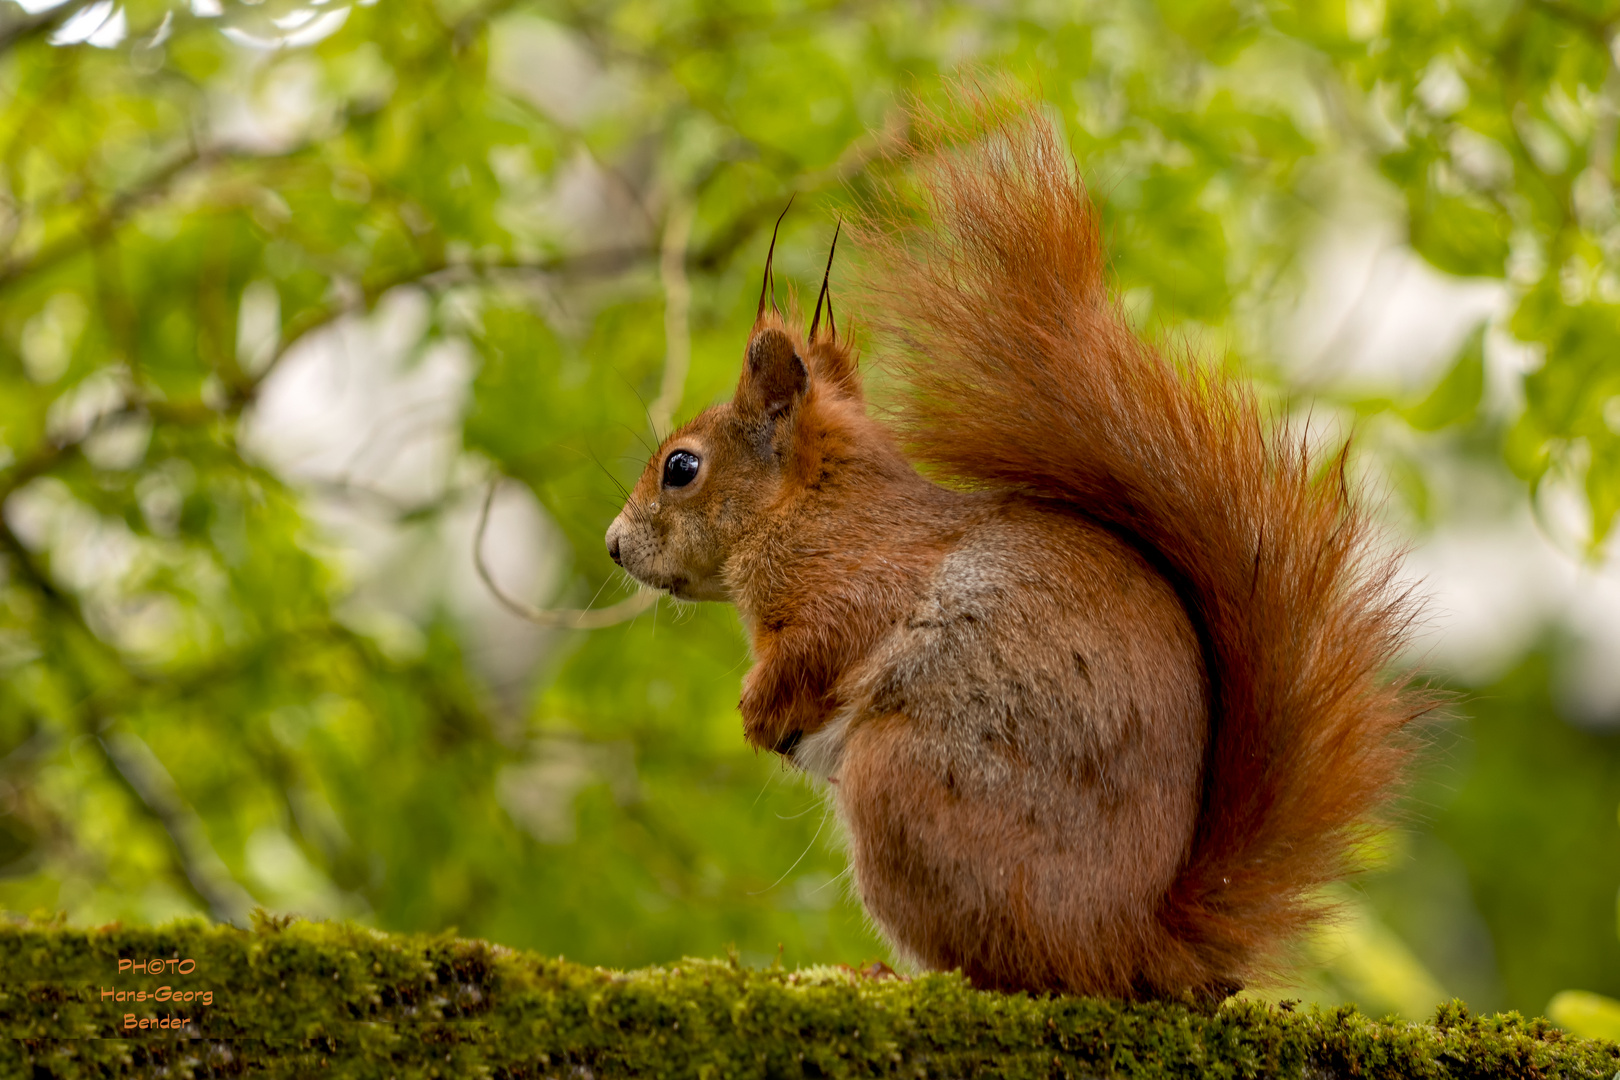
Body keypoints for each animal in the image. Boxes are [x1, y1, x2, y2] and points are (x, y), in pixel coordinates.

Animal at [602, 105, 1425, 1003]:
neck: (813, 508)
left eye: (682, 468)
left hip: (902, 791)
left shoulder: (858, 578)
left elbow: (823, 644)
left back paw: (889, 973)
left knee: (1011, 968)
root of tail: (1132, 943)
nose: (613, 545)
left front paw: (758, 710)